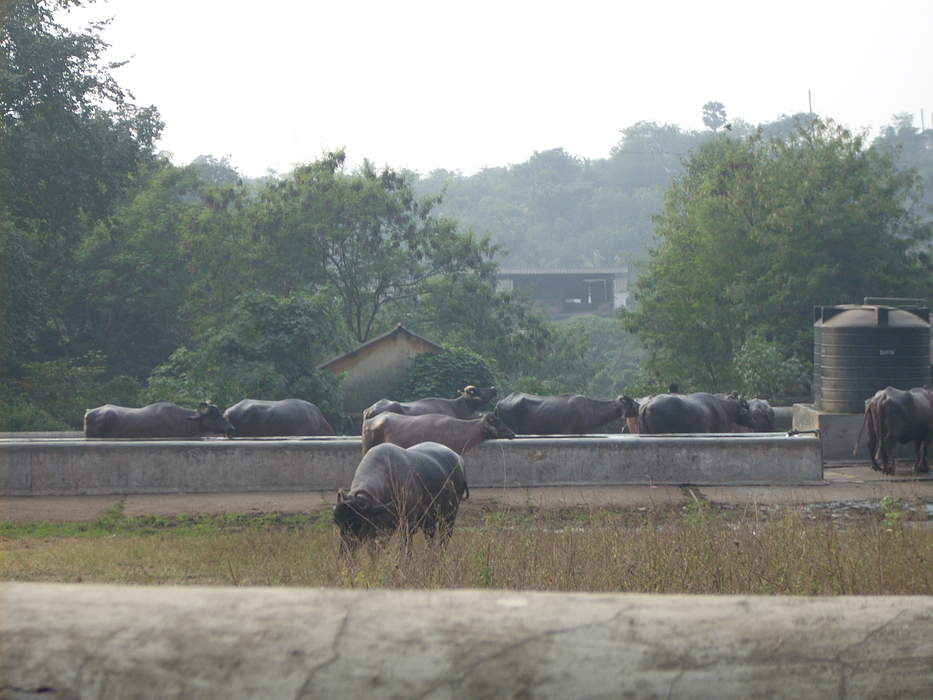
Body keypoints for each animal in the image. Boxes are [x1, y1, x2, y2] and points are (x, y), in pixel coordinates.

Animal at [332, 442, 470, 552]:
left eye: (358, 523)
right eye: (338, 523)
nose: (345, 550)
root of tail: (459, 460)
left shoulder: (407, 527)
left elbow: (405, 549)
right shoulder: (380, 530)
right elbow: (374, 551)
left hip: (449, 516)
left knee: (444, 538)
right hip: (429, 521)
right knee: (430, 538)